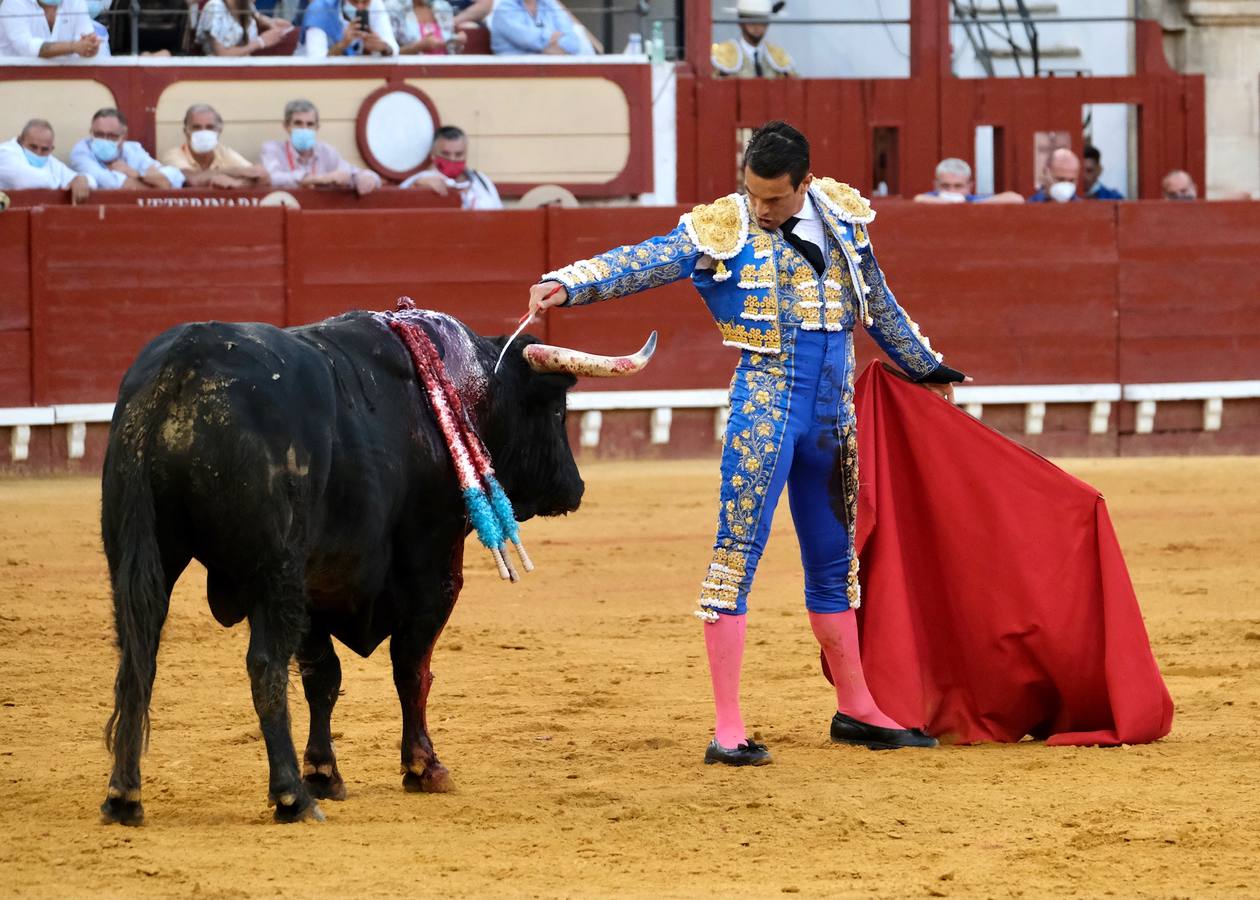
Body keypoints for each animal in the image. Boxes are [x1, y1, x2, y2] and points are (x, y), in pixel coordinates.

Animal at [99, 306, 614, 821]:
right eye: (556, 410)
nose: (575, 487)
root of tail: (181, 368)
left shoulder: (315, 586)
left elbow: (323, 677)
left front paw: (325, 772)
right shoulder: (433, 572)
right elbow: (411, 669)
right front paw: (423, 767)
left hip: (141, 557)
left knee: (137, 660)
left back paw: (124, 796)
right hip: (274, 571)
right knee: (265, 666)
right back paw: (290, 795)